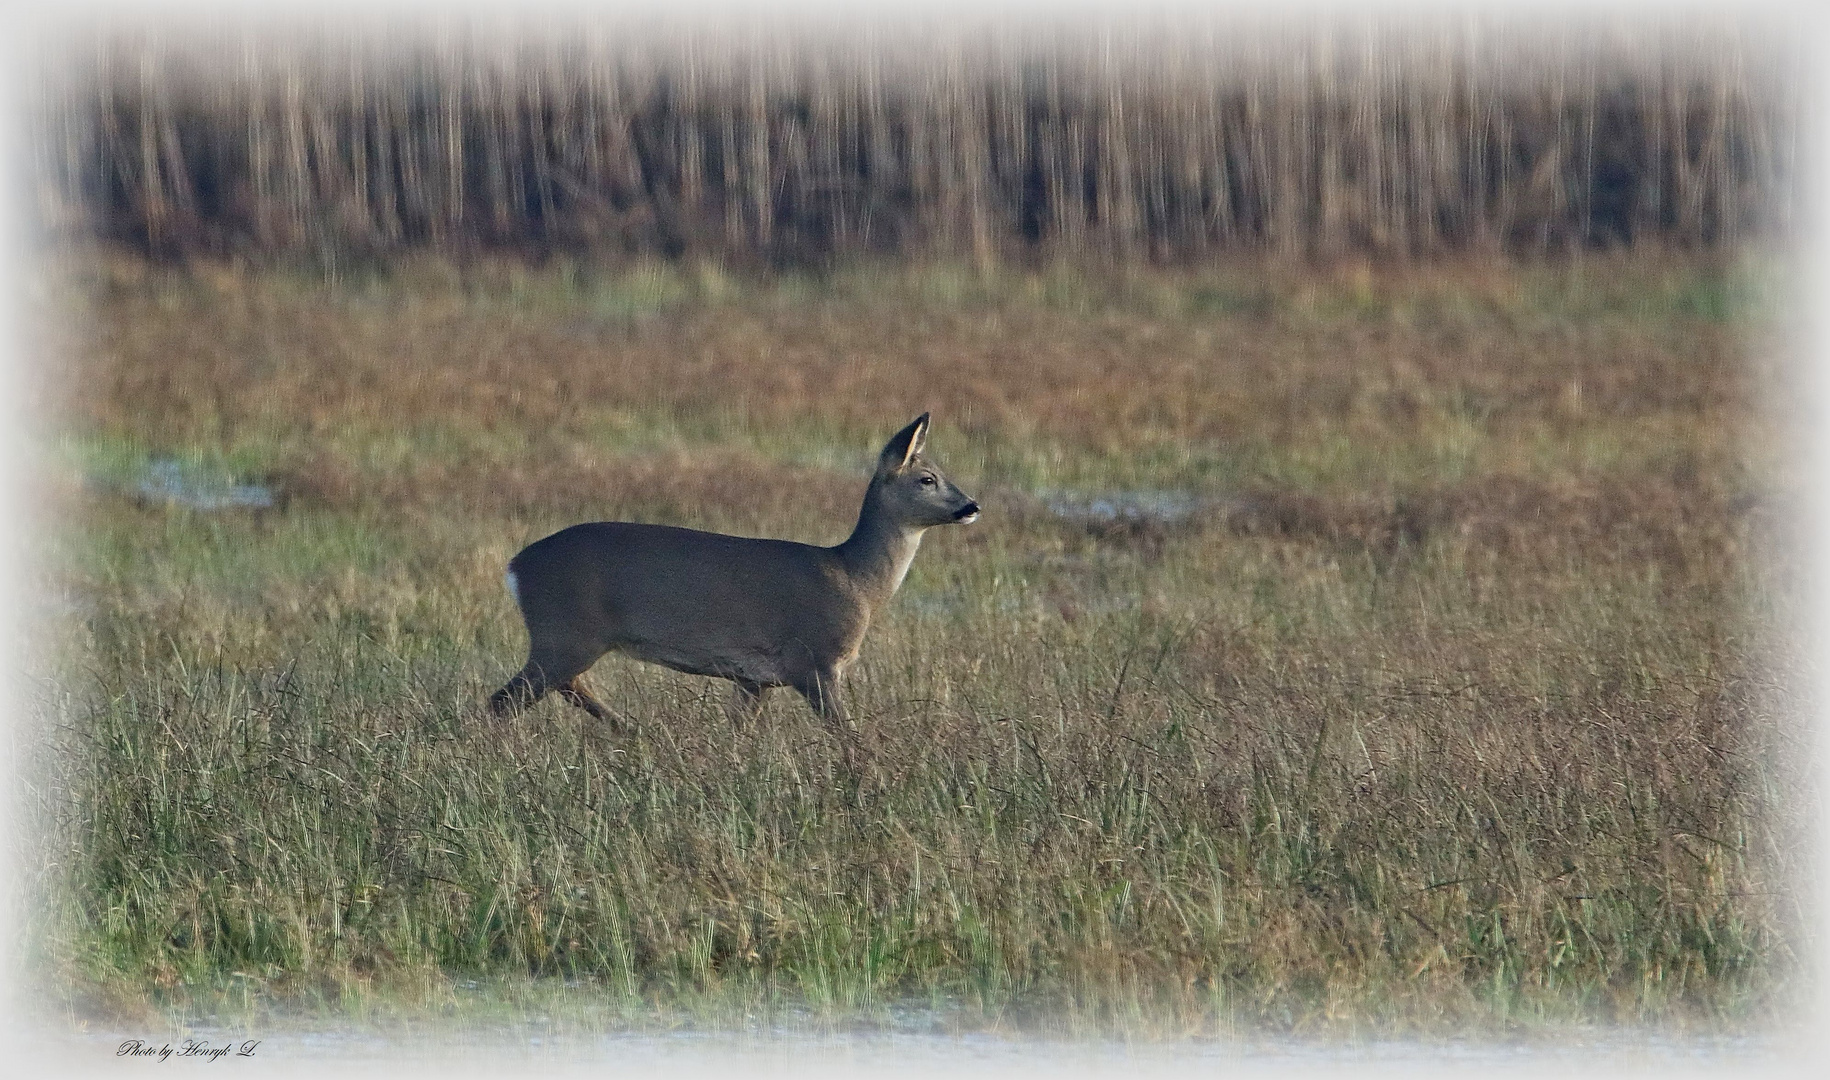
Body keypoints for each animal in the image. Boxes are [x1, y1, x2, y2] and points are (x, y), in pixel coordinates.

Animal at [483, 410, 973, 739]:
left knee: (565, 689)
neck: (857, 578)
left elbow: (739, 733)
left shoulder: (756, 679)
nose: (971, 506)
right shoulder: (815, 661)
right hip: (565, 634)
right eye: (927, 478)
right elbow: (847, 735)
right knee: (501, 702)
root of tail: (516, 566)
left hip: (570, 640)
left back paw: (635, 732)